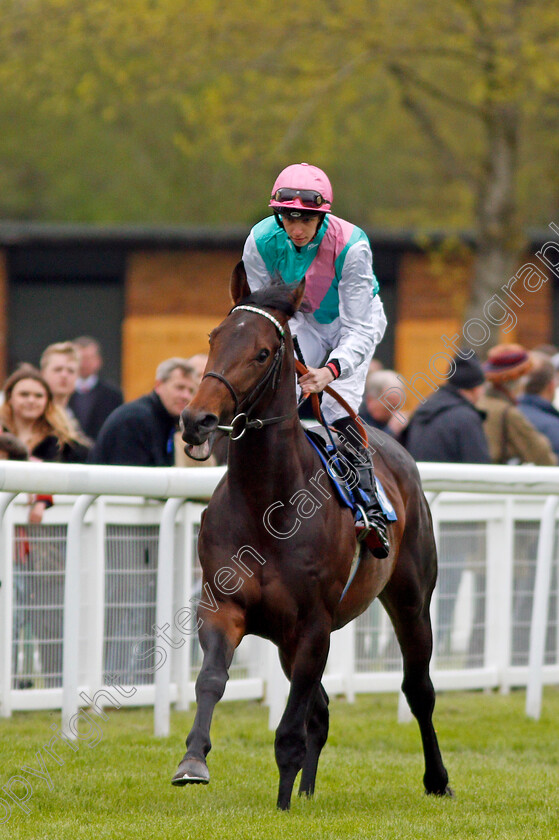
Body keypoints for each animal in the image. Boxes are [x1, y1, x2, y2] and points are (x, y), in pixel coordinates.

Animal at [173, 262, 452, 808]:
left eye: (262, 351)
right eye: (214, 338)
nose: (197, 420)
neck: (268, 504)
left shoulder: (313, 625)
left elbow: (290, 727)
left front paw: (281, 801)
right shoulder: (224, 607)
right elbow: (212, 679)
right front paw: (193, 760)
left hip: (411, 598)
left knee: (419, 690)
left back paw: (437, 780)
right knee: (320, 711)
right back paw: (304, 794)